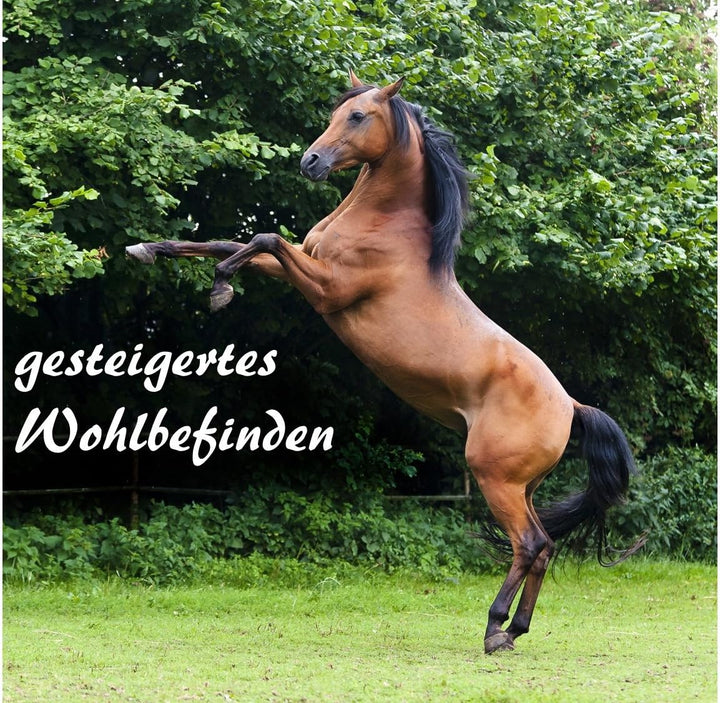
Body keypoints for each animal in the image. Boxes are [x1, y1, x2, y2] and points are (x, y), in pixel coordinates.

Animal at [126, 70, 643, 654]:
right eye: (335, 113)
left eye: (357, 116)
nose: (310, 161)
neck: (386, 227)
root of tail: (571, 406)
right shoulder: (301, 267)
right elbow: (226, 242)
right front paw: (148, 249)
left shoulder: (326, 290)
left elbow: (263, 237)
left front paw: (220, 289)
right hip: (521, 486)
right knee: (544, 547)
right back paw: (515, 631)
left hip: (495, 479)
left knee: (530, 544)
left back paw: (494, 628)